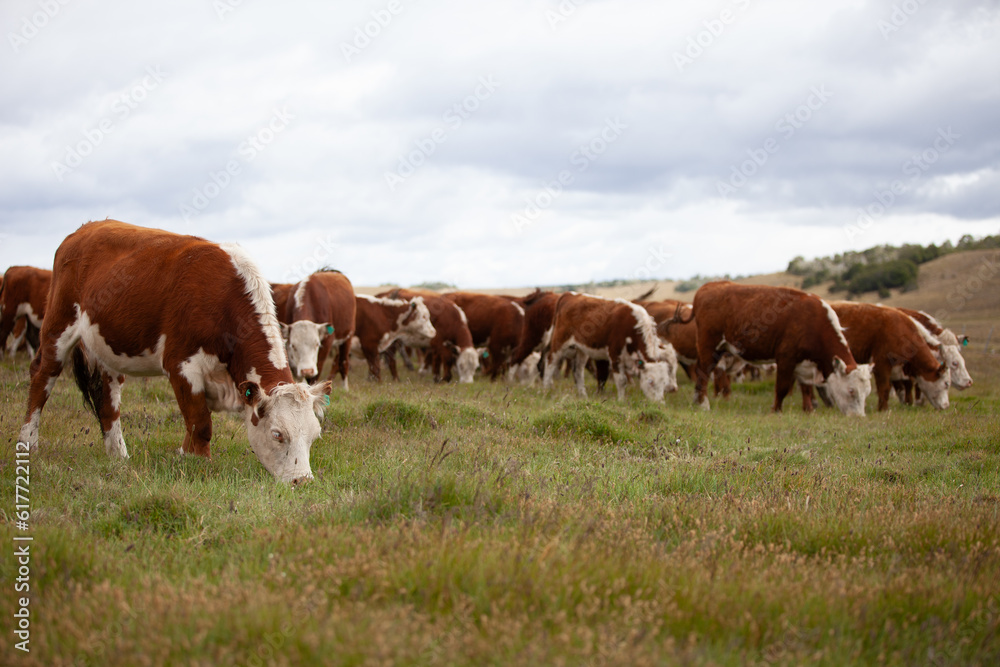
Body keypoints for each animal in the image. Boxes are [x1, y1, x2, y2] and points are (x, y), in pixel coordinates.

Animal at [18, 222, 332, 482]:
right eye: (278, 434)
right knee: (42, 377)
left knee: (107, 398)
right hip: (57, 326)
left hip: (105, 348)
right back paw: (28, 443)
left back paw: (118, 456)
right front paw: (199, 465)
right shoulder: (181, 365)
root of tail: (84, 230)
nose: (302, 480)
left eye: (314, 435)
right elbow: (200, 423)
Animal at [544, 294, 684, 402]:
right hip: (559, 342)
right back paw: (546, 389)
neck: (632, 326)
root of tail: (568, 295)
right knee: (550, 362)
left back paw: (583, 395)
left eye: (664, 382)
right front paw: (621, 401)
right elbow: (621, 380)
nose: (659, 403)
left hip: (581, 350)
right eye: (650, 381)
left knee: (578, 371)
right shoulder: (615, 353)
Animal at [692, 280, 872, 414]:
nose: (859, 417)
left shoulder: (804, 362)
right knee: (704, 371)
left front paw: (808, 410)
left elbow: (806, 388)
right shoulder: (786, 357)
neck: (814, 322)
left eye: (867, 392)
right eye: (851, 390)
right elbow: (782, 387)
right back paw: (703, 404)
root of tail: (709, 286)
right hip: (709, 345)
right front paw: (776, 410)